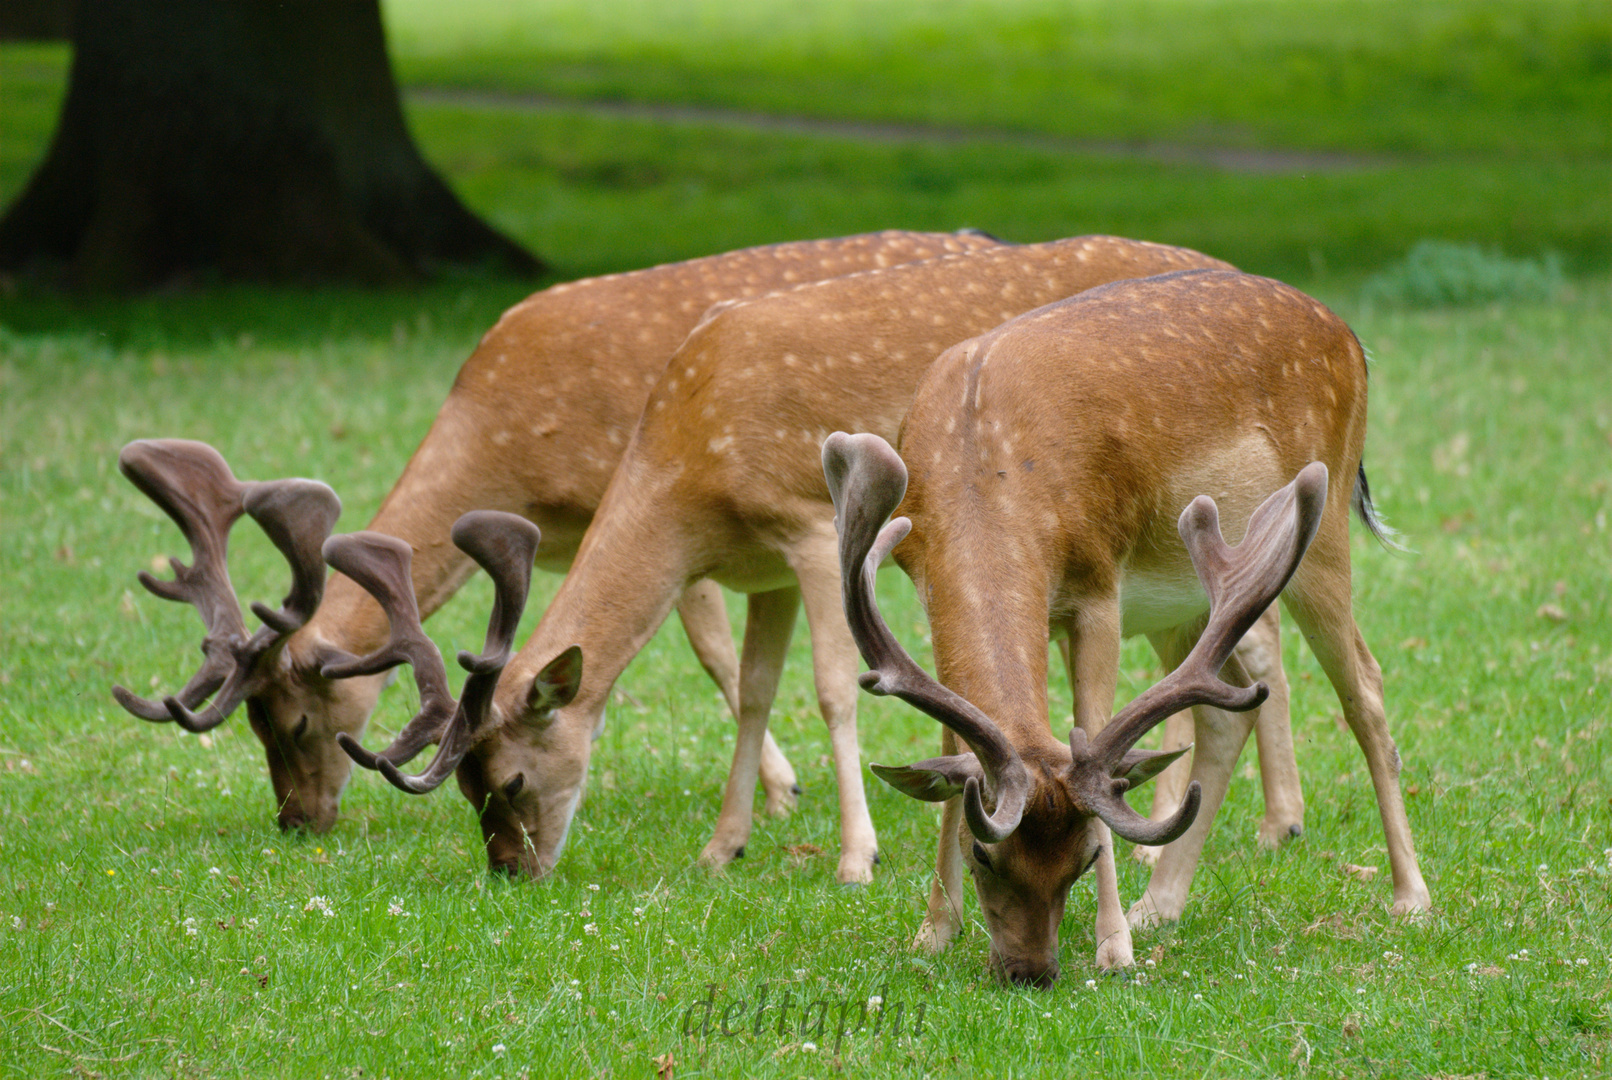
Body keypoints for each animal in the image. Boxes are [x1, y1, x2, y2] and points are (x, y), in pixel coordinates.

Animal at [113, 232, 992, 831]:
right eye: (253, 722)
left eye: (295, 722)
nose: (297, 821)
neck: (510, 448)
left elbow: (710, 650)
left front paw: (782, 792)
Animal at [336, 235, 1296, 941]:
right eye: (467, 788)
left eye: (512, 781)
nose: (511, 868)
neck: (687, 469)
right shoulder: (763, 569)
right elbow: (753, 685)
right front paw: (724, 846)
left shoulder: (803, 526)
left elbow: (833, 687)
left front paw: (854, 858)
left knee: (1253, 642)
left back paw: (1238, 830)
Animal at [825, 270, 1431, 992]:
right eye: (984, 854)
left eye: (1087, 857)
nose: (1031, 971)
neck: (985, 466)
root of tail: (1348, 334)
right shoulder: (925, 587)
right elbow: (952, 744)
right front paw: (934, 930)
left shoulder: (1098, 585)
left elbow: (1093, 725)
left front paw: (1114, 947)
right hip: (1189, 602)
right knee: (1229, 708)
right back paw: (1160, 904)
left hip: (1324, 525)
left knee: (1364, 687)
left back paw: (1411, 896)